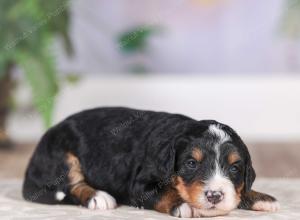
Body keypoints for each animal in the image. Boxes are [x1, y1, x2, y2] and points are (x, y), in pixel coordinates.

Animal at [22, 107, 278, 217]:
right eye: (191, 164)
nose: (214, 195)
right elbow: (164, 193)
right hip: (64, 155)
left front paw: (261, 198)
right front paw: (183, 205)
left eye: (235, 168)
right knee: (71, 185)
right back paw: (98, 197)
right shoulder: (139, 185)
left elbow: (242, 188)